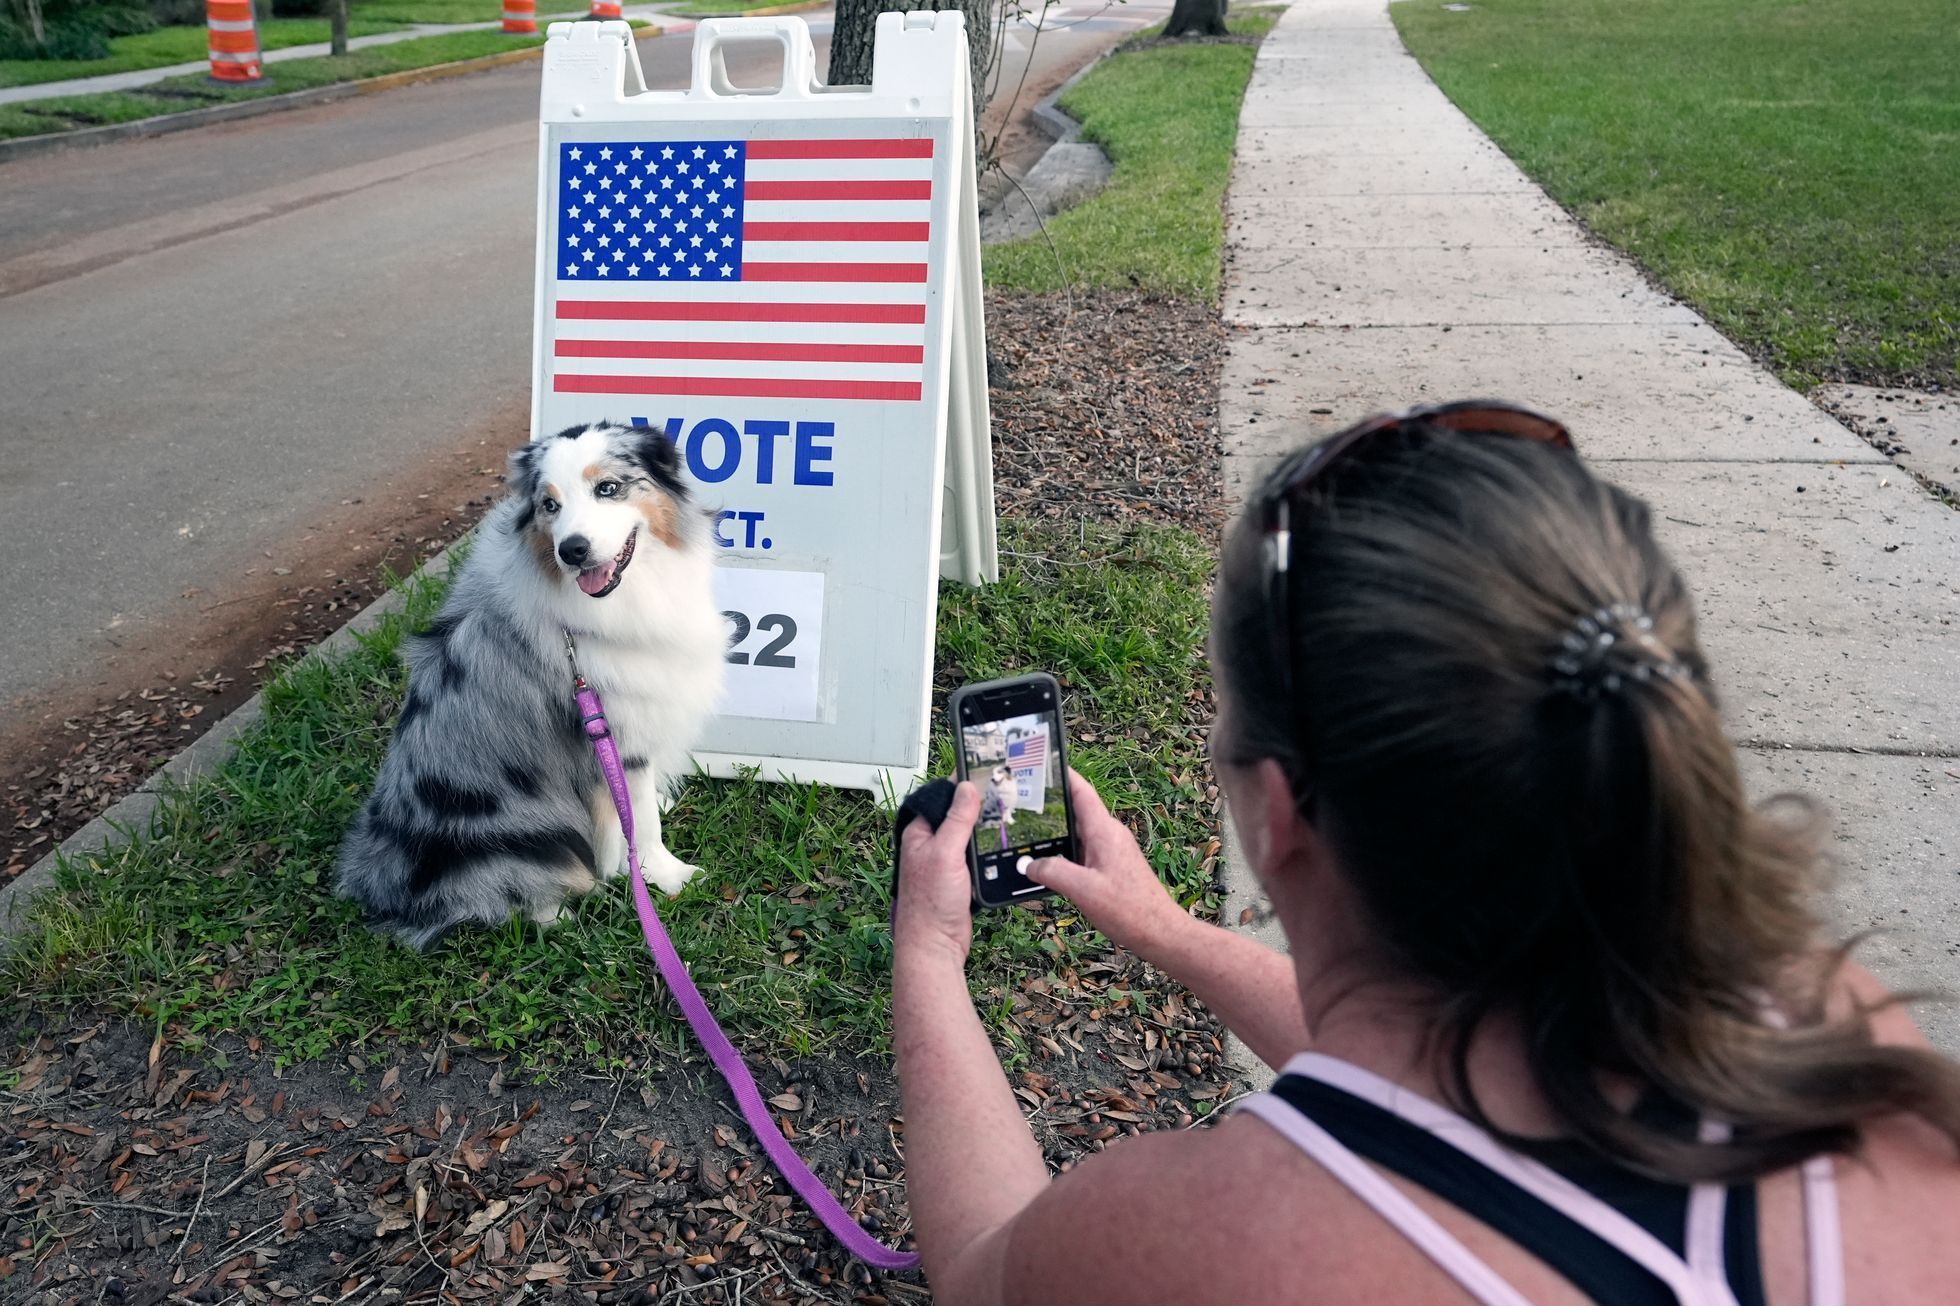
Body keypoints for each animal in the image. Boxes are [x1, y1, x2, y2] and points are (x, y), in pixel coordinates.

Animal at [337, 421, 729, 941]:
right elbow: (641, 822)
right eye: (550, 505)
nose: (572, 550)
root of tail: (381, 887)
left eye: (608, 488)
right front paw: (665, 875)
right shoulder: (616, 738)